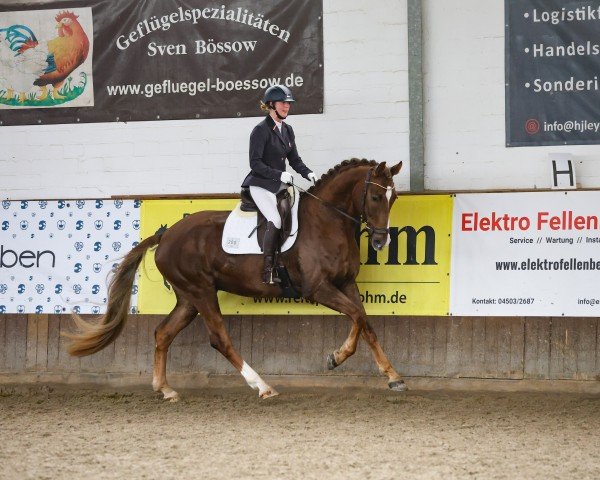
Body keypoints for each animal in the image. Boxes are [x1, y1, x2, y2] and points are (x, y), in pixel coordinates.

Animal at [68, 159, 406, 400]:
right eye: (376, 196)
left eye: (394, 198)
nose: (380, 242)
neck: (327, 222)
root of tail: (166, 235)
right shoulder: (318, 289)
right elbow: (356, 316)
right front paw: (335, 358)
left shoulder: (347, 284)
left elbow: (364, 321)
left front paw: (393, 376)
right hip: (202, 291)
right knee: (219, 337)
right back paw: (262, 386)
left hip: (188, 297)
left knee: (163, 333)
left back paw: (165, 389)